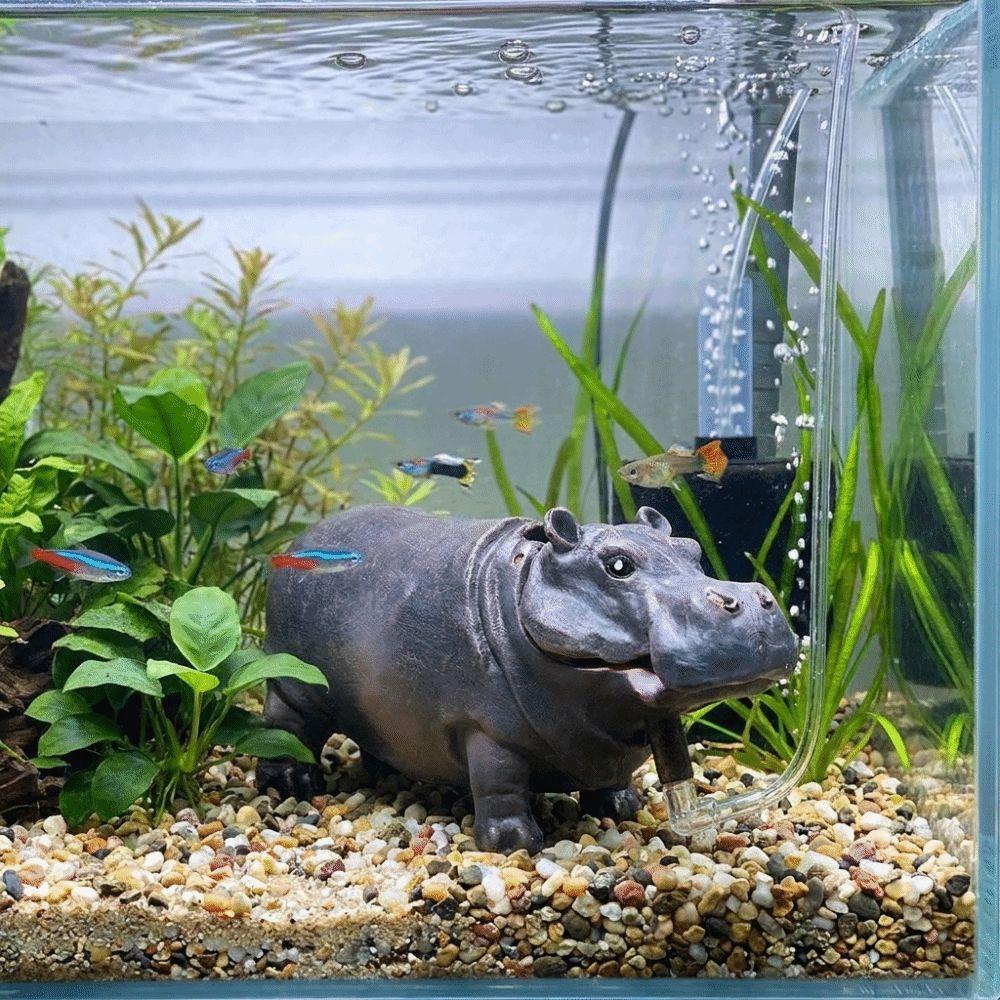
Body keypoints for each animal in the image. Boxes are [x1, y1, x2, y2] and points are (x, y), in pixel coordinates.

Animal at [261, 505, 796, 853]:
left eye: (691, 549)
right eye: (617, 564)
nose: (754, 601)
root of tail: (297, 541)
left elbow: (614, 775)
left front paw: (620, 808)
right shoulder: (486, 728)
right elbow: (500, 784)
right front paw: (515, 843)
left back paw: (383, 775)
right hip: (293, 684)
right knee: (285, 727)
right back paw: (293, 783)